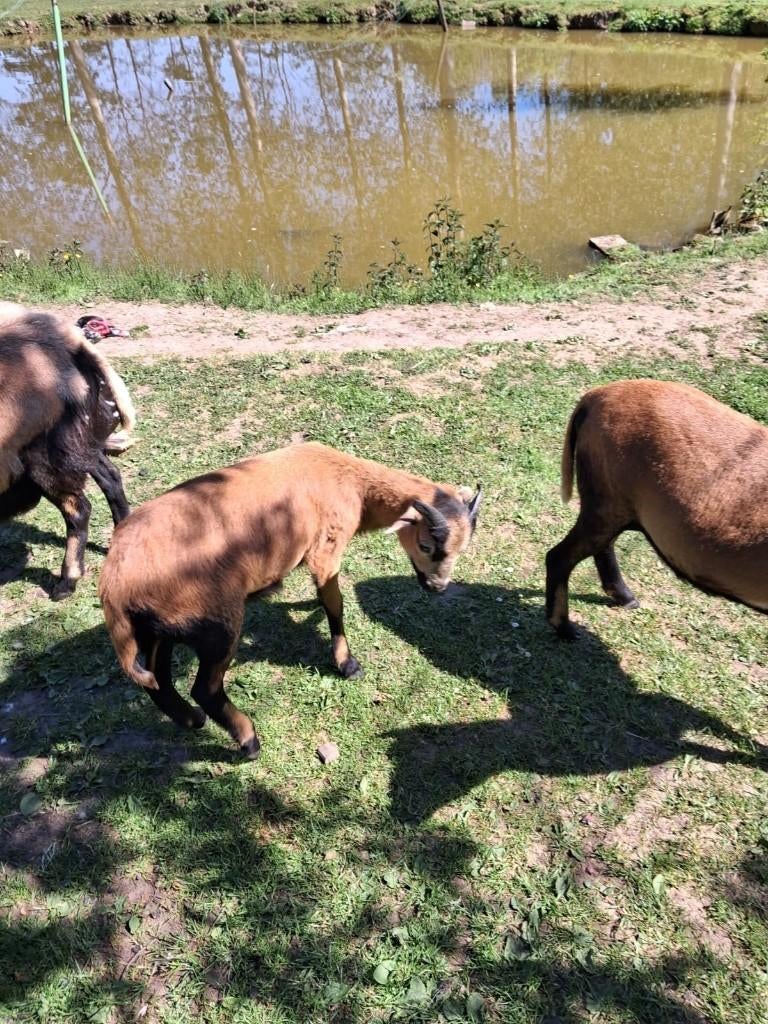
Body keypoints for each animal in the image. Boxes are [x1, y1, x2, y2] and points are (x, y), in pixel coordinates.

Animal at [99, 442, 482, 758]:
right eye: (426, 545)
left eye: (463, 548)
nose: (438, 587)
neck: (352, 484)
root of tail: (114, 585)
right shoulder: (326, 549)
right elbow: (335, 603)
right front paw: (347, 664)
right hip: (214, 621)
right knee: (205, 689)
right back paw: (249, 741)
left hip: (161, 628)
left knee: (158, 681)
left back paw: (192, 720)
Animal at [545, 379, 768, 639]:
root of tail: (596, 395)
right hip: (606, 496)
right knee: (559, 557)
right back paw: (564, 628)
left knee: (602, 546)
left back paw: (624, 597)